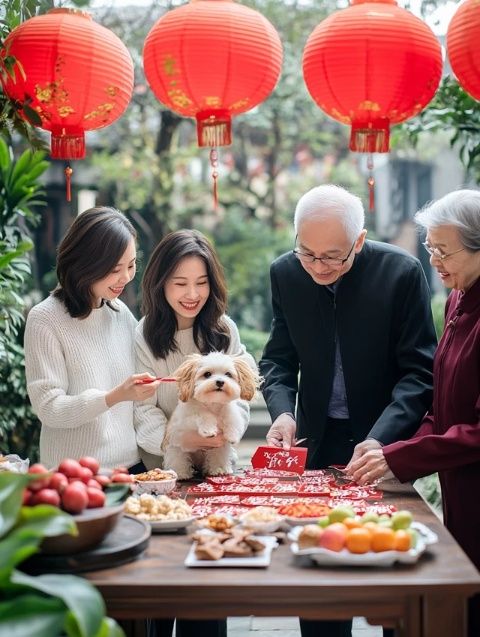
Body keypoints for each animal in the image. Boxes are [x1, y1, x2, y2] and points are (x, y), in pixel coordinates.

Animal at [162, 350, 260, 480]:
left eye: (228, 374)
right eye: (207, 374)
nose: (220, 382)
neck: (213, 404)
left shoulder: (222, 438)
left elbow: (230, 416)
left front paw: (232, 435)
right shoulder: (185, 421)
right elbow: (203, 414)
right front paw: (208, 430)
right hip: (176, 447)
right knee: (177, 459)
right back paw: (181, 473)